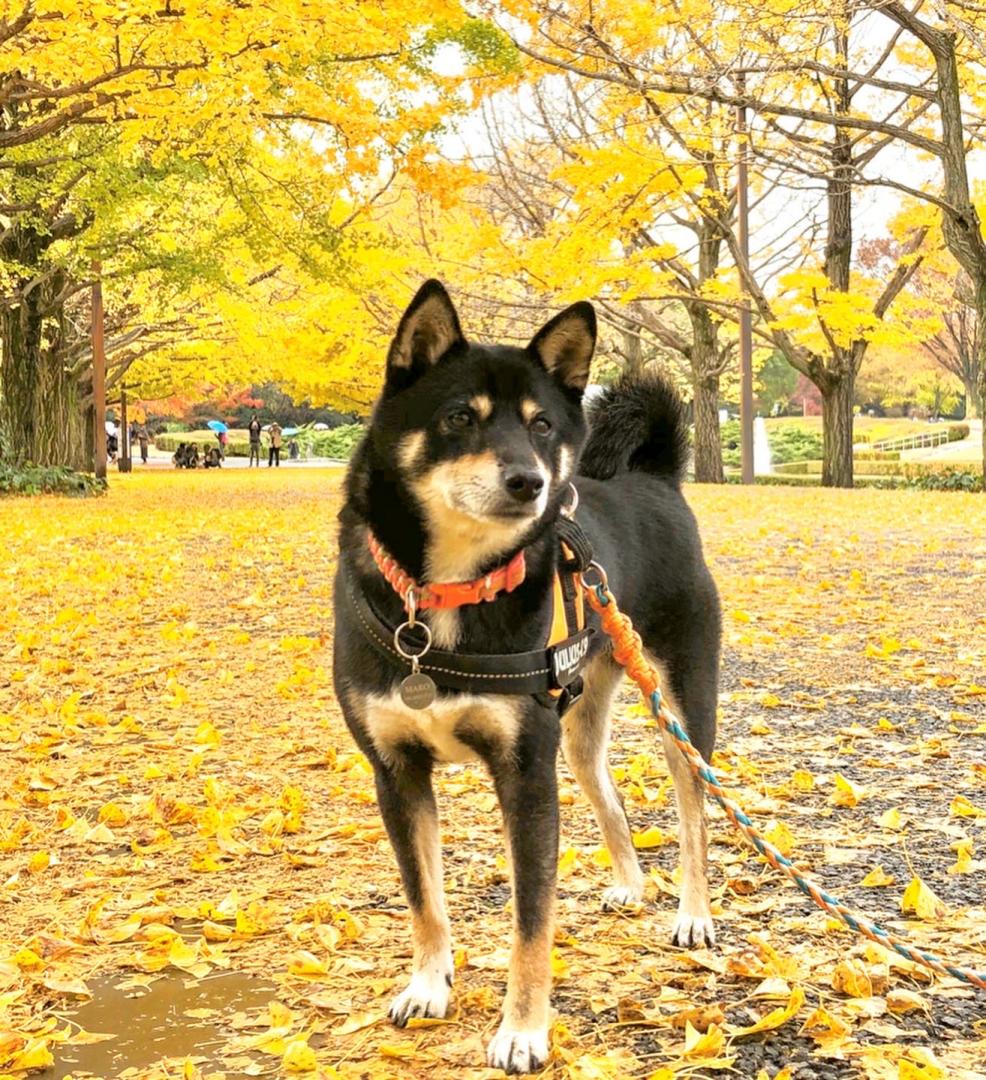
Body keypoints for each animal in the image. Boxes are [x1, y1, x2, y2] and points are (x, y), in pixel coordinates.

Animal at [334, 282, 721, 1075]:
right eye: (460, 417)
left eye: (542, 425)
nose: (531, 482)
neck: (446, 596)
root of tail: (656, 480)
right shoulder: (397, 773)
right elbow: (424, 898)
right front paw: (429, 984)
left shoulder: (525, 777)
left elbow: (531, 921)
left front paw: (523, 1030)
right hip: (575, 728)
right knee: (608, 793)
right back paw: (630, 883)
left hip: (681, 710)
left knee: (694, 817)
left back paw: (692, 915)